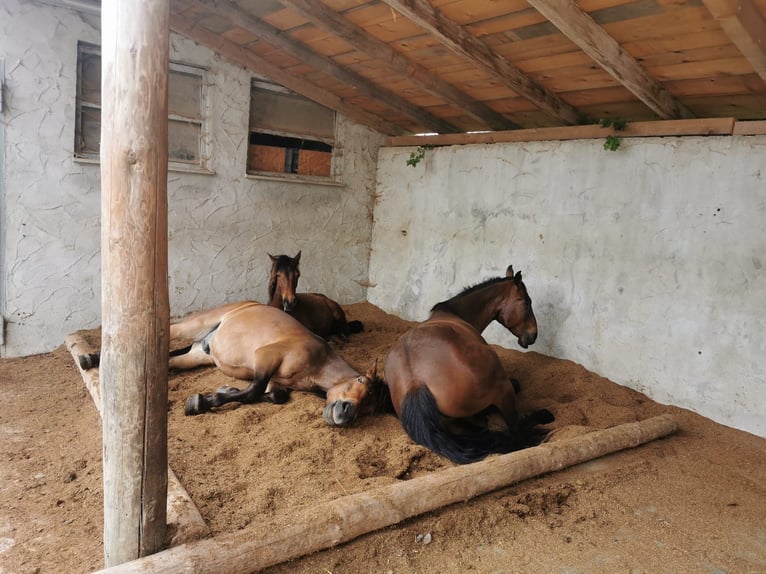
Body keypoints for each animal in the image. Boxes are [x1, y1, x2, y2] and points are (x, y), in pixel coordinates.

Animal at [79, 301, 390, 425]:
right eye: (361, 381)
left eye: (369, 407)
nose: (346, 413)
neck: (318, 362)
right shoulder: (265, 358)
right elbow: (253, 391)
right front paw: (201, 402)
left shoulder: (276, 381)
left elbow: (274, 396)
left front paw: (223, 392)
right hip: (190, 327)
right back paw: (90, 359)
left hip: (197, 356)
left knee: (168, 360)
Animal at [383, 265, 553, 464]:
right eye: (526, 302)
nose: (533, 335)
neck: (454, 314)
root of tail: (415, 385)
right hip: (504, 391)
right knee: (515, 429)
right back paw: (542, 416)